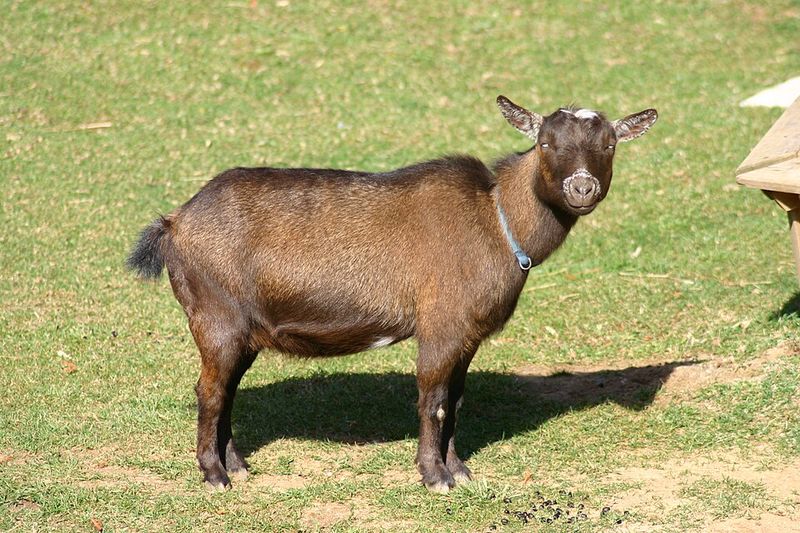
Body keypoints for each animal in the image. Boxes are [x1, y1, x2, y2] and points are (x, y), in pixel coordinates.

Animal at [127, 95, 657, 493]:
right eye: (545, 142)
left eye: (609, 143)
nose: (582, 188)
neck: (495, 217)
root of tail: (174, 223)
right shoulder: (441, 324)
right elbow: (432, 398)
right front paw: (434, 477)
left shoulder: (467, 334)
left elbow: (455, 400)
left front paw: (459, 469)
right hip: (215, 316)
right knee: (210, 390)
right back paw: (215, 475)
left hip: (242, 330)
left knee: (227, 390)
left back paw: (237, 466)